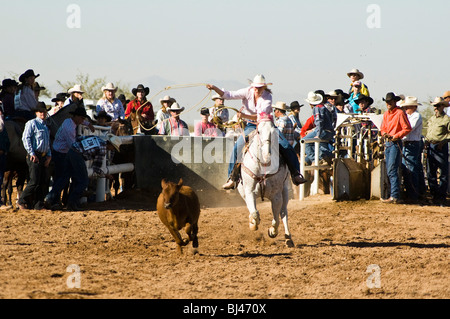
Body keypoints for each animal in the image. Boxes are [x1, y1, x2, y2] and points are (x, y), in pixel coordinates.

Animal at [236, 119, 296, 248]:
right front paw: (253, 224)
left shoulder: (276, 196)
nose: (266, 153)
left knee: (284, 213)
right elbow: (254, 213)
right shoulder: (249, 192)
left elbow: (276, 219)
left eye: (274, 132)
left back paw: (288, 238)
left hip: (286, 191)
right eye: (258, 131)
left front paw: (272, 231)